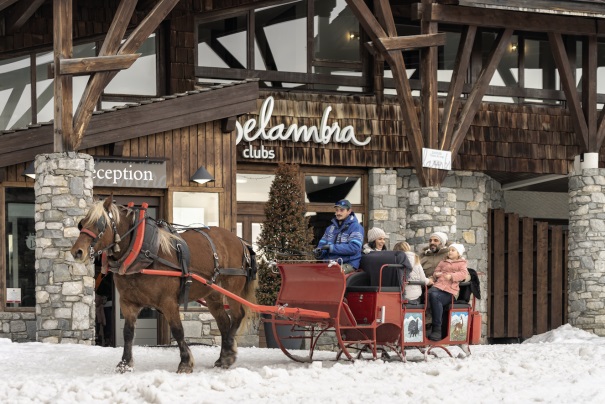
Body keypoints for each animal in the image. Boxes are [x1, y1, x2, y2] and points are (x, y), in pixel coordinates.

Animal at [70, 197, 255, 374]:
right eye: (82, 223)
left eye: (99, 223)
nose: (77, 252)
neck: (144, 252)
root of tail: (239, 241)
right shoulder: (128, 302)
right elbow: (128, 332)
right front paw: (125, 364)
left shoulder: (168, 302)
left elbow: (177, 330)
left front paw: (185, 363)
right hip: (212, 293)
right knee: (223, 321)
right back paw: (223, 357)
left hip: (232, 286)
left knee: (237, 315)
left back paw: (228, 353)